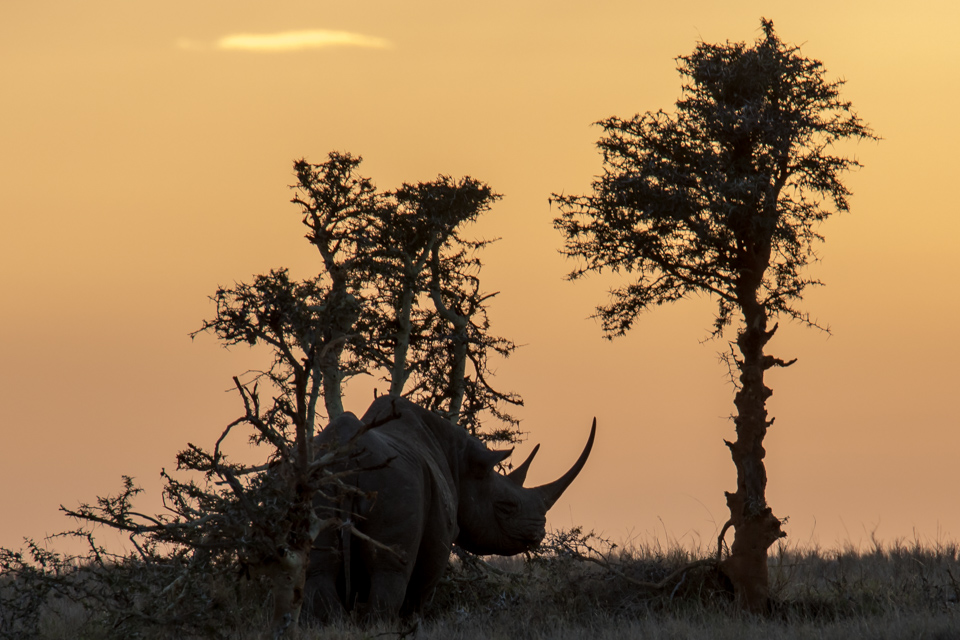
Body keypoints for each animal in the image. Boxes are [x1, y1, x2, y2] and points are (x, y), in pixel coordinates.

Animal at [304, 396, 595, 621]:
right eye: (505, 507)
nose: (539, 533)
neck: (461, 460)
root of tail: (346, 459)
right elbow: (419, 594)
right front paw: (411, 626)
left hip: (317, 481)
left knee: (318, 572)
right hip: (394, 483)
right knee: (389, 575)